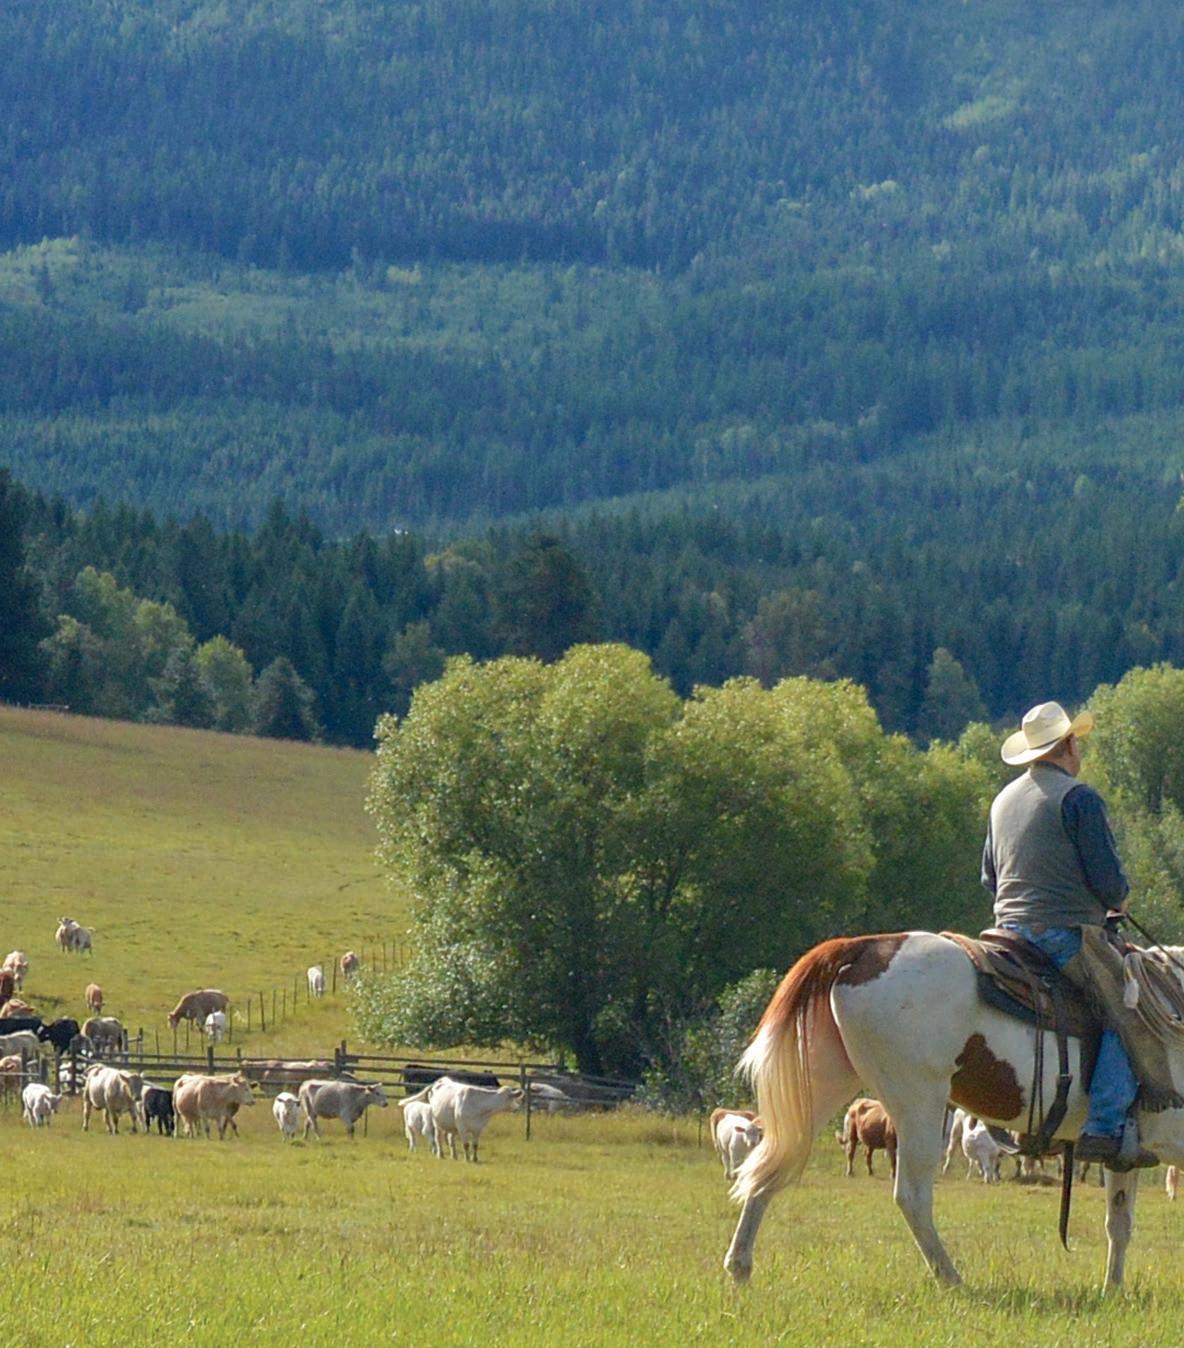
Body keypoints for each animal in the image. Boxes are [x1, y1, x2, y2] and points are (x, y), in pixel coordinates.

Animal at [724, 931, 1184, 1291]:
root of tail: (865, 947)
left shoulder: (1124, 1156)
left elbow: (1118, 1223)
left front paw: (1113, 1290)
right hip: (919, 1104)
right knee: (911, 1196)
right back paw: (951, 1279)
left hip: (824, 1085)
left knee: (770, 1165)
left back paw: (740, 1265)